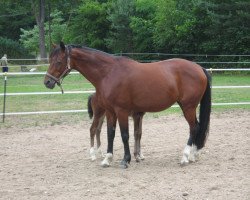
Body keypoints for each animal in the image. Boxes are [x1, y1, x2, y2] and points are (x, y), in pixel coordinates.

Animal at [44, 42, 211, 169]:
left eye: (58, 62)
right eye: (50, 60)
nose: (47, 82)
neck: (109, 72)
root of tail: (199, 68)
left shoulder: (122, 111)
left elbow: (125, 135)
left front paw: (126, 160)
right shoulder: (110, 112)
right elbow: (110, 134)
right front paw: (107, 159)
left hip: (188, 107)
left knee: (193, 128)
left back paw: (185, 156)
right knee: (197, 126)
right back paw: (194, 155)